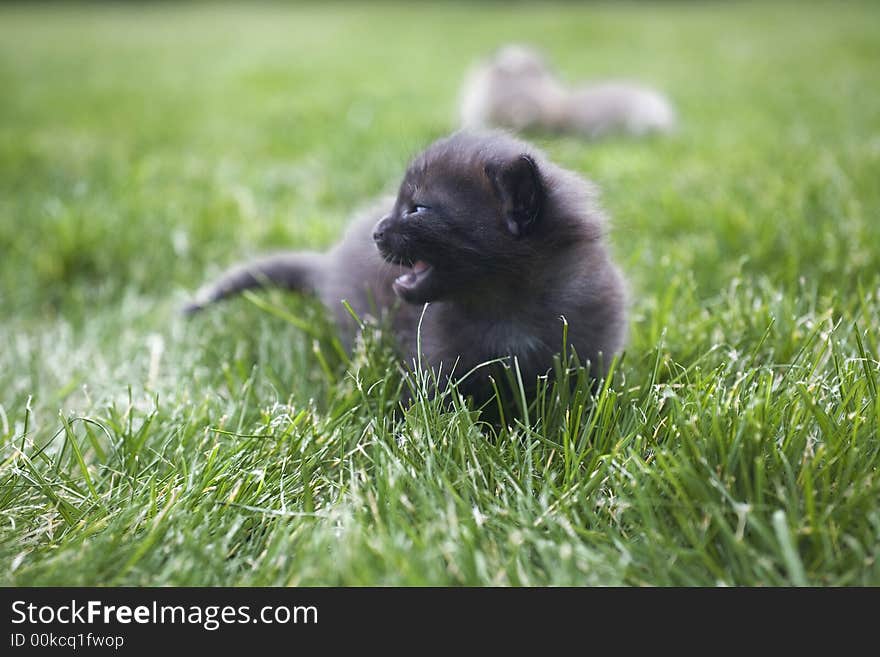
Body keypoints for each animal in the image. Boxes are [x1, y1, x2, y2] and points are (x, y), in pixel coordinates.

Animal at [184, 132, 624, 404]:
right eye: (399, 201)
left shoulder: (588, 349)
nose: (377, 232)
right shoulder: (435, 364)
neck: (506, 306)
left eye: (419, 208)